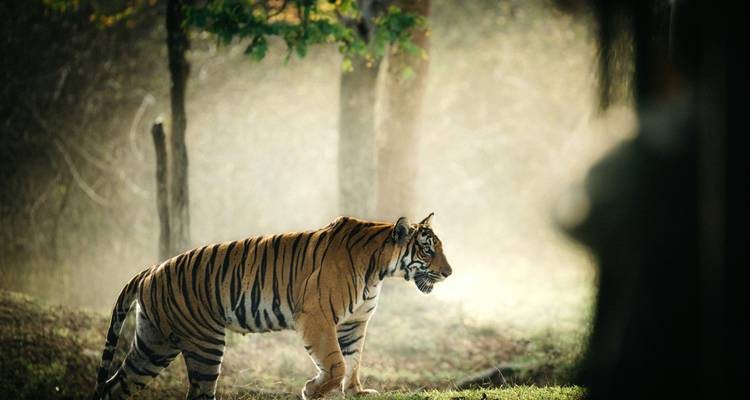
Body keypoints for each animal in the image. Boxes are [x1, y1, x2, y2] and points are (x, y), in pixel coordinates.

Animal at [93, 213, 452, 400]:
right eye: (428, 250)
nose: (449, 272)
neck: (379, 270)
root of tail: (150, 270)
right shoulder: (316, 316)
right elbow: (335, 363)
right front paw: (314, 390)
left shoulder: (354, 323)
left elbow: (353, 361)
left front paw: (356, 391)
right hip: (204, 343)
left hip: (154, 344)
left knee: (116, 386)